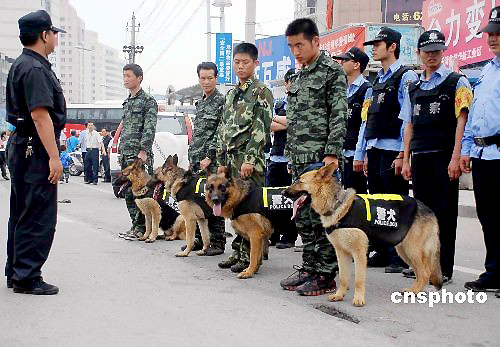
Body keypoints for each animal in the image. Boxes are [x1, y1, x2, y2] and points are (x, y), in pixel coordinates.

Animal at [284, 163, 444, 308]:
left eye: (299, 181)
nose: (284, 193)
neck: (338, 205)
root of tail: (429, 209)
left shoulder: (359, 253)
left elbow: (358, 280)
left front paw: (359, 299)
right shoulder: (341, 253)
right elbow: (343, 277)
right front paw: (339, 295)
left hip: (412, 250)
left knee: (425, 273)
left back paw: (414, 291)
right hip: (404, 251)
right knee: (421, 273)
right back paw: (415, 290)